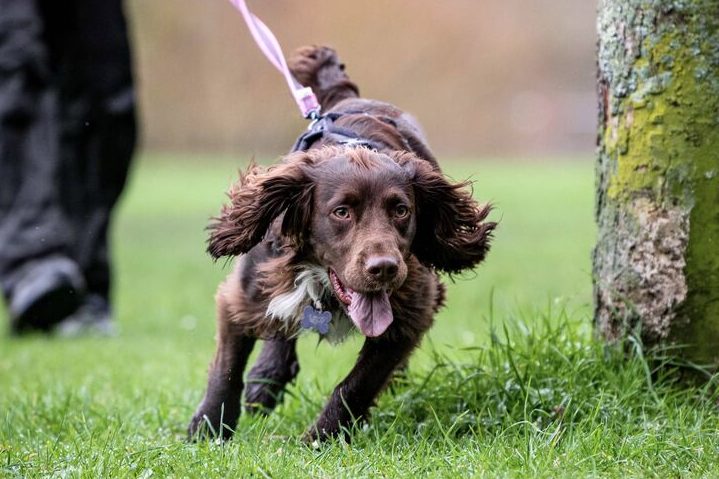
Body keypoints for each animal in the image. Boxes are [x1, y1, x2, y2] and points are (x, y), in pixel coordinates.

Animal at [188, 45, 498, 442]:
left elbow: (358, 383)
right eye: (341, 212)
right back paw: (266, 377)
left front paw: (321, 437)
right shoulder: (242, 294)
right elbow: (227, 368)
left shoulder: (412, 309)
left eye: (401, 210)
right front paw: (207, 427)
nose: (384, 269)